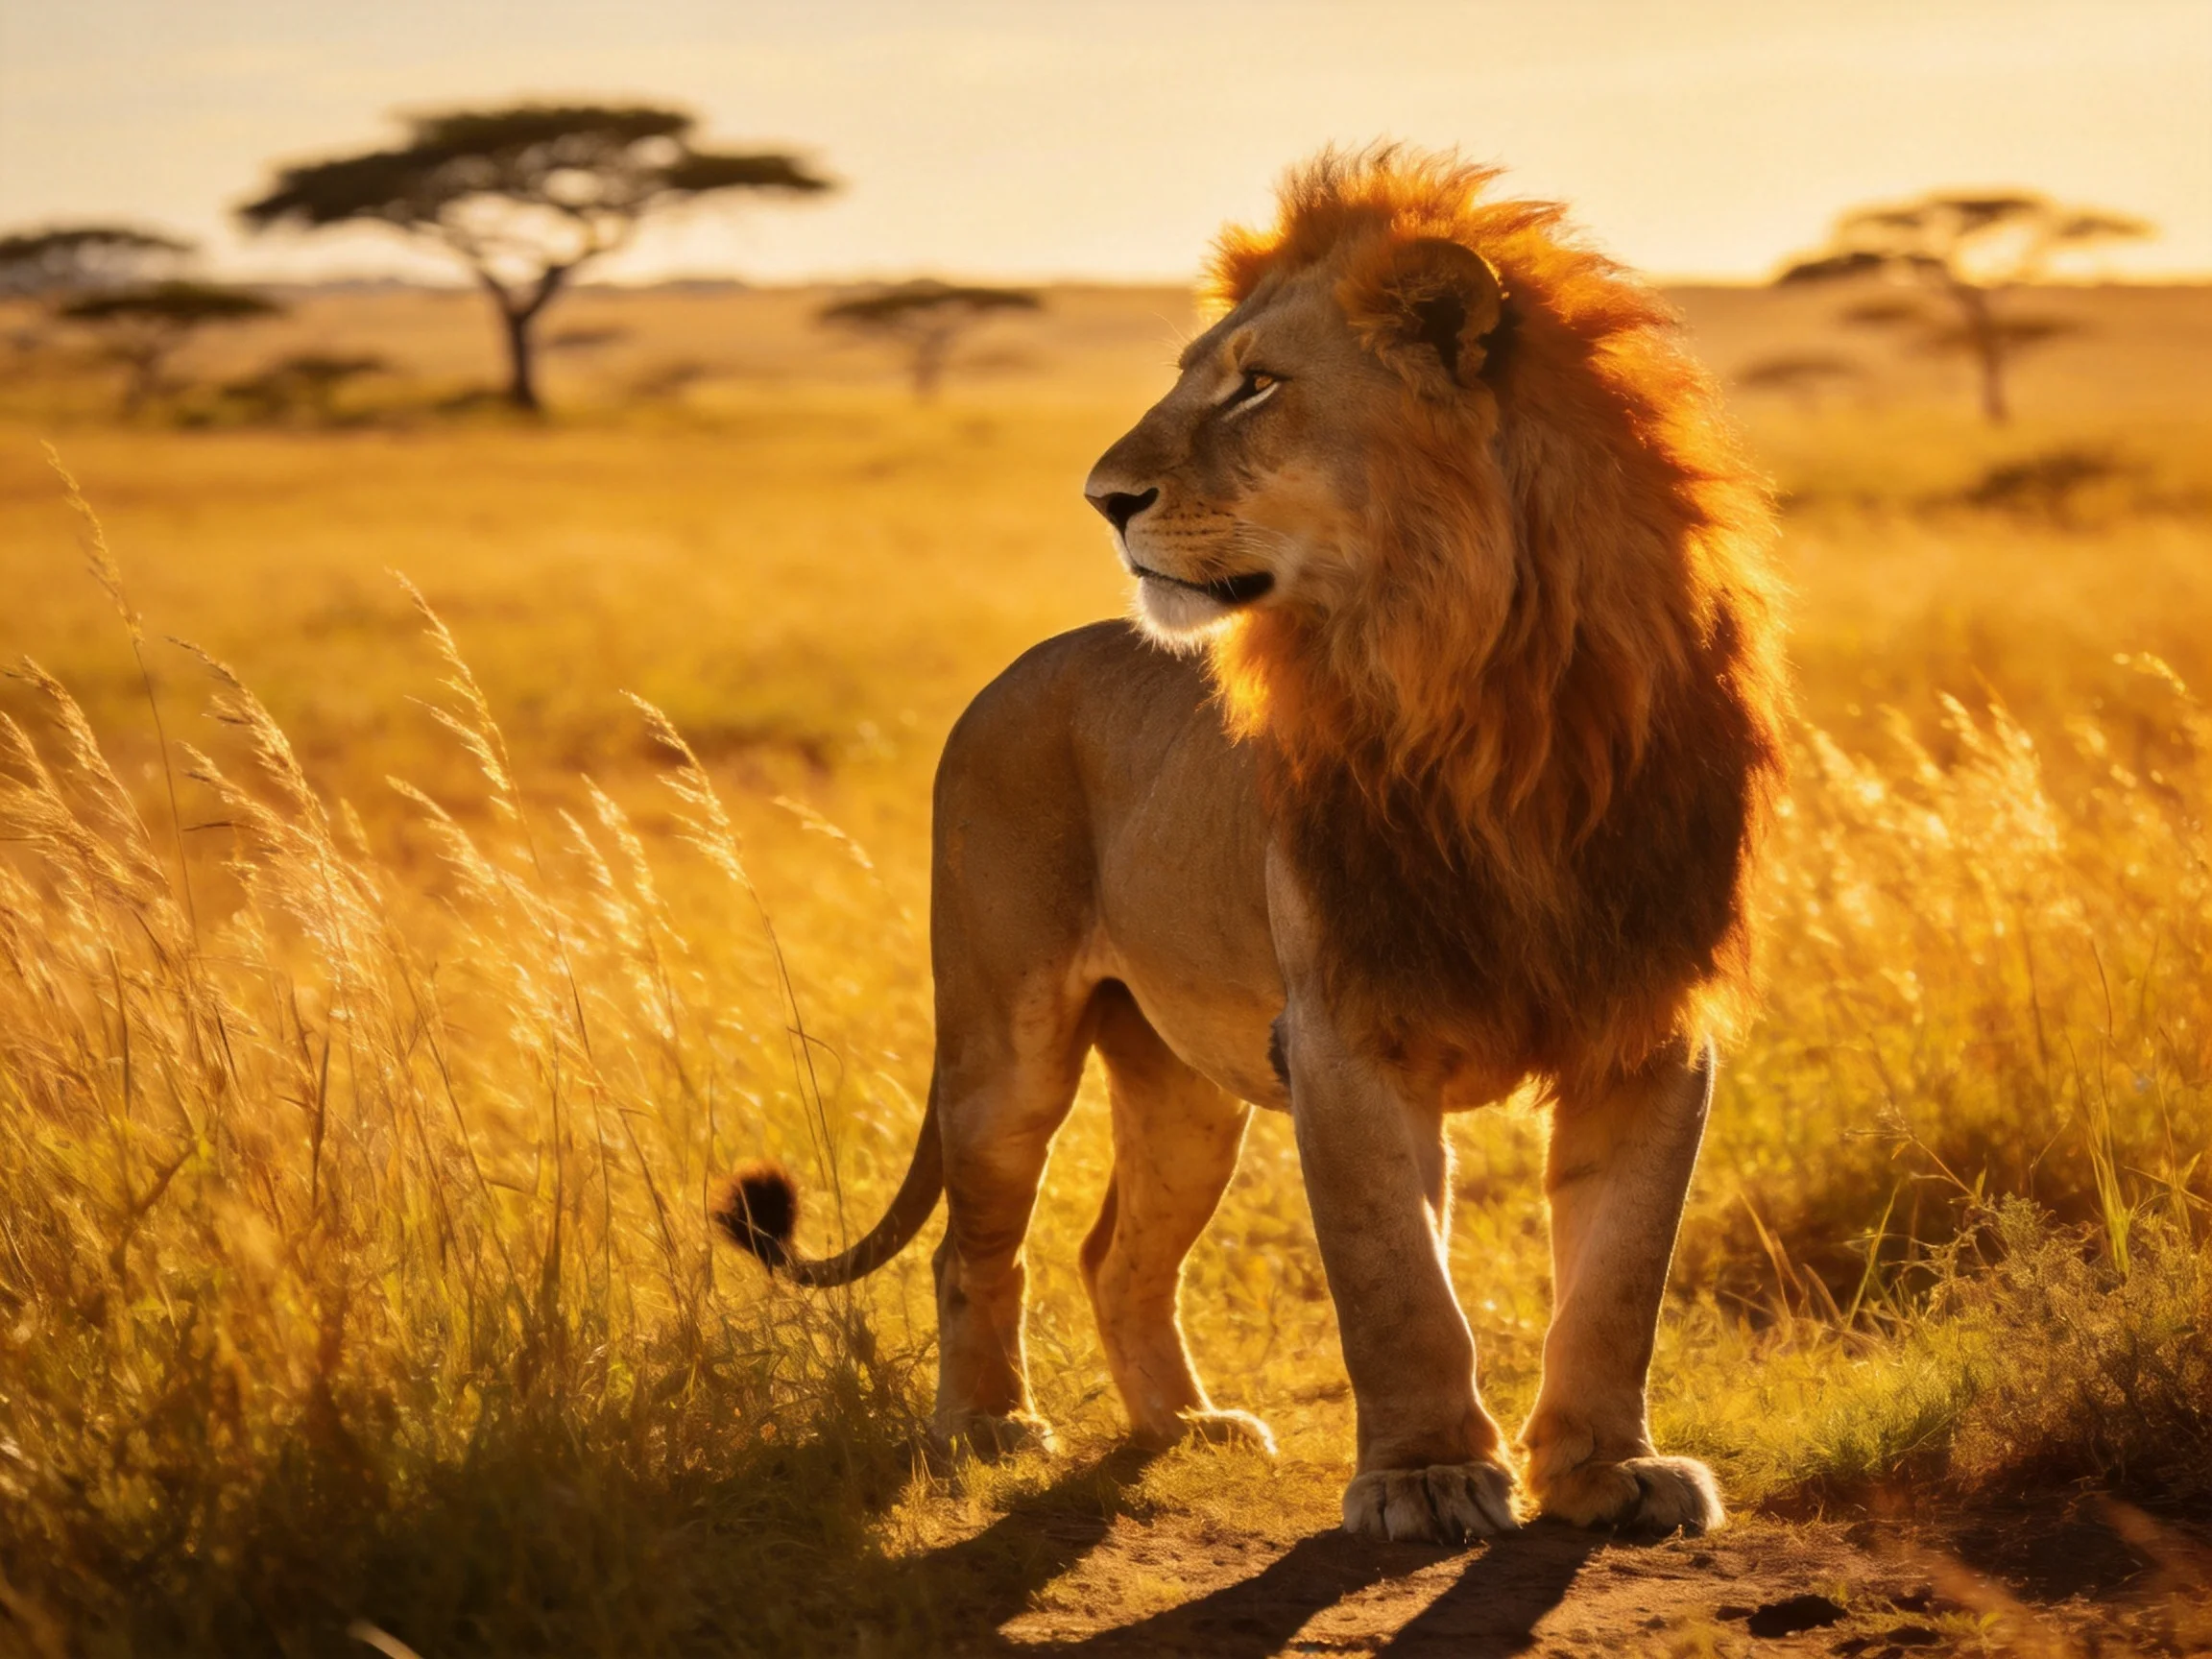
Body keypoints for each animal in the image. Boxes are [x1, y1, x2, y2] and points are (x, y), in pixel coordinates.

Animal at [716, 145, 1788, 1544]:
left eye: (1257, 386)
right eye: (1194, 374)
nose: (1102, 499)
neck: (1497, 695)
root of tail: (1019, 669)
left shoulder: (1649, 1019)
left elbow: (1617, 1277)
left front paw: (1610, 1472)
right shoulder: (1346, 1028)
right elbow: (1398, 1282)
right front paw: (1426, 1478)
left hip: (1184, 1089)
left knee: (1116, 1251)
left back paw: (1182, 1425)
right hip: (1006, 1042)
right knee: (975, 1241)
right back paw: (988, 1428)